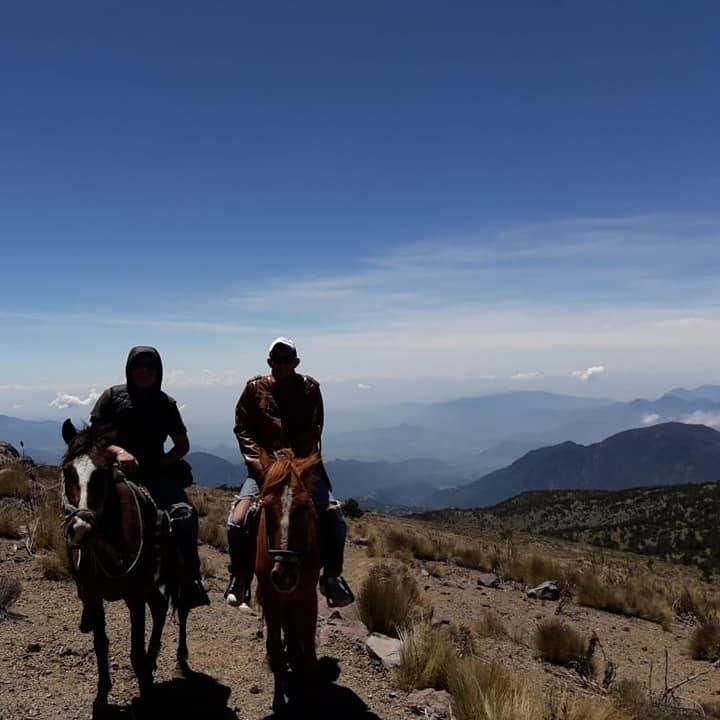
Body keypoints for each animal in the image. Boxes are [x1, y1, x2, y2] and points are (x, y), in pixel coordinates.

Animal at [60, 420, 188, 712]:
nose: (80, 529)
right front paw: (102, 693)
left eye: (101, 475)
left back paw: (177, 657)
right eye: (67, 473)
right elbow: (101, 644)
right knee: (160, 607)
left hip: (174, 574)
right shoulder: (94, 597)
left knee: (180, 607)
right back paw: (152, 661)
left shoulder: (134, 597)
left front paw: (145, 689)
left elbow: (134, 650)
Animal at [253, 448, 320, 712]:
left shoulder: (308, 595)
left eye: (305, 507)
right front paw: (279, 698)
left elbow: (309, 645)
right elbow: (273, 640)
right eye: (266, 507)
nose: (284, 576)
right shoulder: (271, 596)